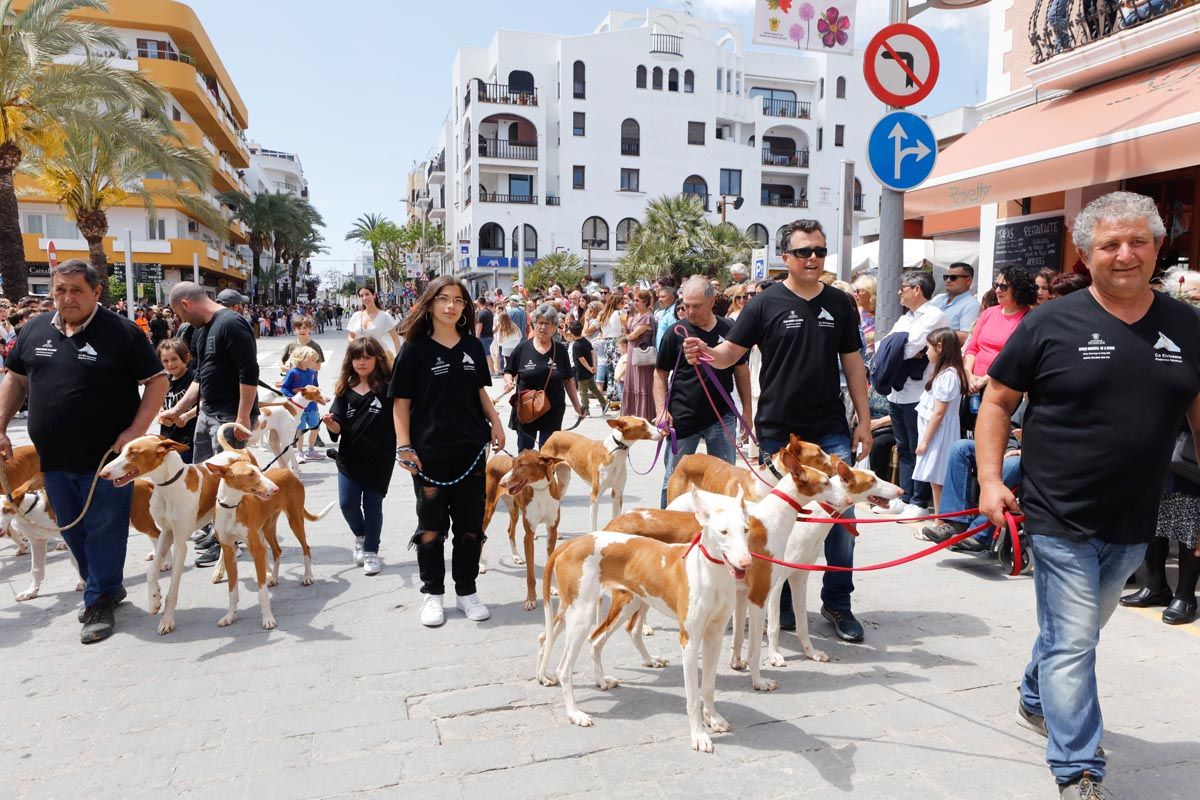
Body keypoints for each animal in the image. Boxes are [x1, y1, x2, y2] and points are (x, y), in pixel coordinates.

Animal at [206, 453, 336, 628]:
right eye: (250, 474)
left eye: (259, 471)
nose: (275, 489)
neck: (232, 508)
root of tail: (288, 471)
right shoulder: (228, 551)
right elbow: (232, 591)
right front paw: (230, 616)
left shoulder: (257, 550)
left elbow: (262, 593)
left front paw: (268, 618)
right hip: (268, 528)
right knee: (277, 550)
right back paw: (273, 578)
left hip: (295, 520)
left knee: (306, 548)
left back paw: (307, 577)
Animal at [480, 450, 568, 614]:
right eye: (513, 464)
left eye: (522, 465)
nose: (502, 482)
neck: (540, 490)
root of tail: (495, 457)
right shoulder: (529, 535)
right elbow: (530, 575)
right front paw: (531, 600)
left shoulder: (552, 531)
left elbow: (550, 563)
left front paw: (552, 588)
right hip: (488, 510)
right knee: (481, 537)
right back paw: (480, 564)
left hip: (514, 509)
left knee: (510, 530)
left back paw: (516, 556)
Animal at [540, 491, 753, 753]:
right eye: (723, 532)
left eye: (746, 530)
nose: (747, 563)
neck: (712, 575)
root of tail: (571, 543)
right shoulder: (690, 641)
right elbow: (693, 697)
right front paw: (699, 735)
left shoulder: (714, 636)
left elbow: (709, 686)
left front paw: (713, 718)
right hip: (583, 613)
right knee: (564, 668)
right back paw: (574, 713)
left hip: (623, 603)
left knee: (595, 639)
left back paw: (600, 681)